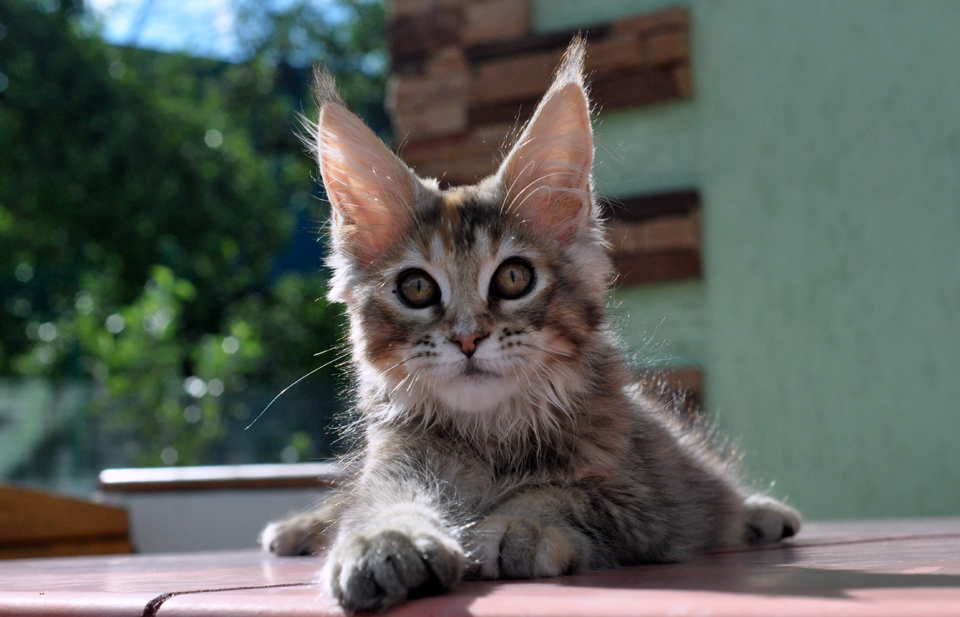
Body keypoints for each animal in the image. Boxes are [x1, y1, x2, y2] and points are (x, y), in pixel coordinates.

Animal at [262, 38, 804, 612]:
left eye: (514, 278)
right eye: (417, 288)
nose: (468, 337)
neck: (492, 436)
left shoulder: (639, 497)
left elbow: (561, 493)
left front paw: (519, 524)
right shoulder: (396, 465)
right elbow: (378, 505)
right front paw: (385, 541)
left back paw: (760, 513)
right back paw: (297, 530)